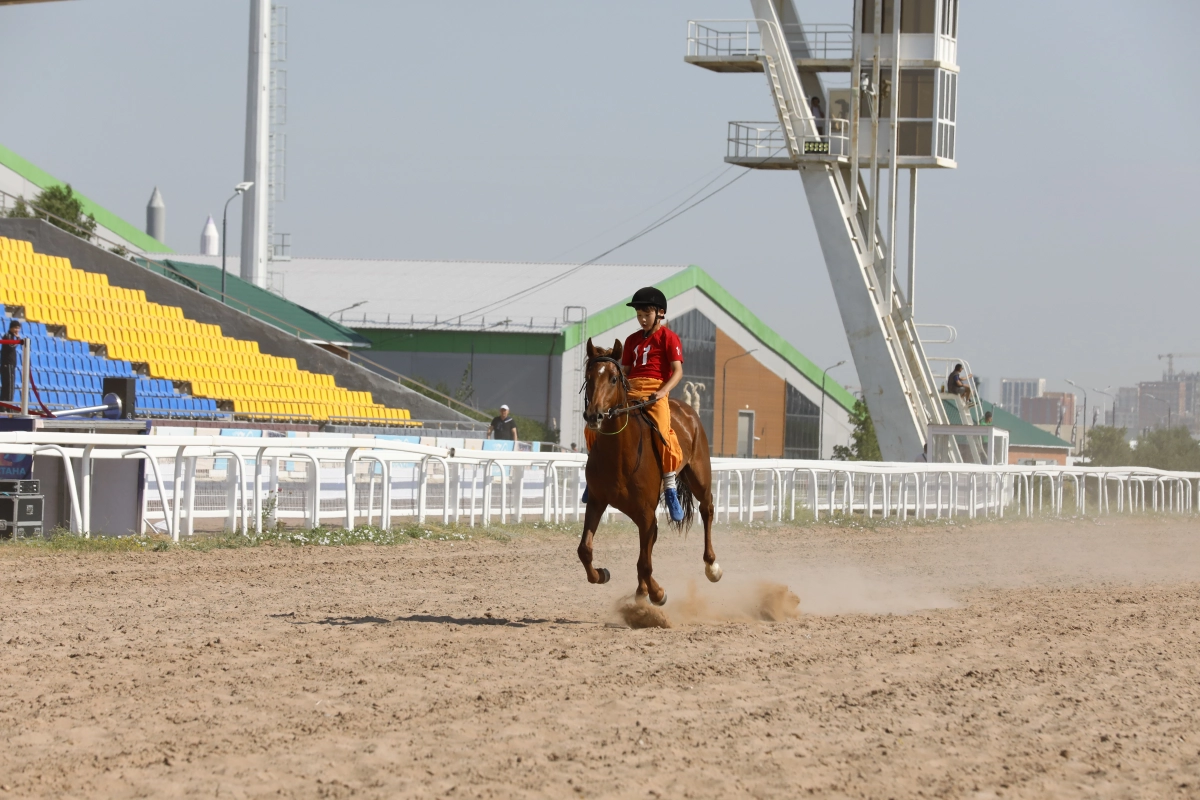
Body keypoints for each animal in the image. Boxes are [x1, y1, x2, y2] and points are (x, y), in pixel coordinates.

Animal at [573, 338, 715, 606]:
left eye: (613, 379)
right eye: (588, 377)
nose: (594, 415)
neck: (619, 455)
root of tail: (687, 410)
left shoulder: (646, 513)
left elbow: (645, 563)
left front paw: (657, 592)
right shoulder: (597, 501)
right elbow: (585, 549)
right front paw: (602, 574)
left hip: (699, 476)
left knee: (707, 509)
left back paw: (712, 566)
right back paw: (641, 591)